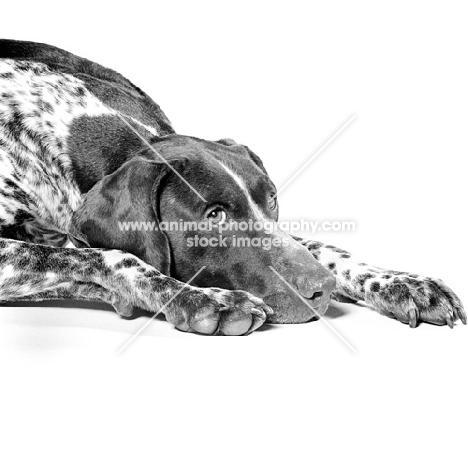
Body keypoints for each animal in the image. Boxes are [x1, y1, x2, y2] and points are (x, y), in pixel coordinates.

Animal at [0, 38, 464, 334]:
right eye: (215, 215)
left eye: (272, 199)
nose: (324, 290)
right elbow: (106, 256)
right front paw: (205, 299)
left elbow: (321, 245)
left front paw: (396, 281)